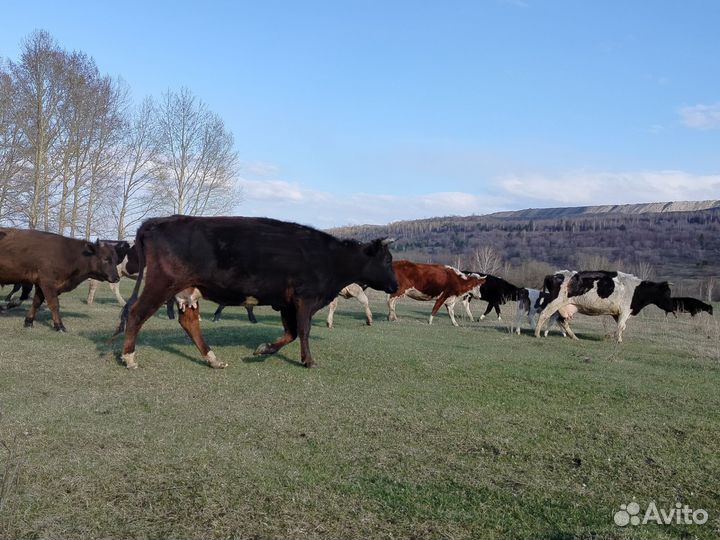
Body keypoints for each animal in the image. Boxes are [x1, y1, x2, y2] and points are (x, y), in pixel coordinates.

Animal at [114, 215, 398, 369]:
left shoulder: (286, 303)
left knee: (189, 322)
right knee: (137, 313)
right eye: (387, 260)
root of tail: (159, 221)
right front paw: (308, 360)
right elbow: (303, 331)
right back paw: (129, 357)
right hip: (162, 284)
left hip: (188, 289)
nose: (395, 286)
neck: (330, 258)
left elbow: (291, 333)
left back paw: (212, 359)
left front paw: (264, 349)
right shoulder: (305, 298)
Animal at [535, 270, 673, 342]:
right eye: (667, 293)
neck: (636, 289)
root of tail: (556, 274)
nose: (672, 307)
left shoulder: (618, 313)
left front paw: (616, 337)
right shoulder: (625, 310)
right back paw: (537, 334)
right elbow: (621, 326)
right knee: (544, 314)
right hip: (556, 301)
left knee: (562, 321)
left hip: (567, 306)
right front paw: (617, 339)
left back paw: (574, 337)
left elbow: (622, 327)